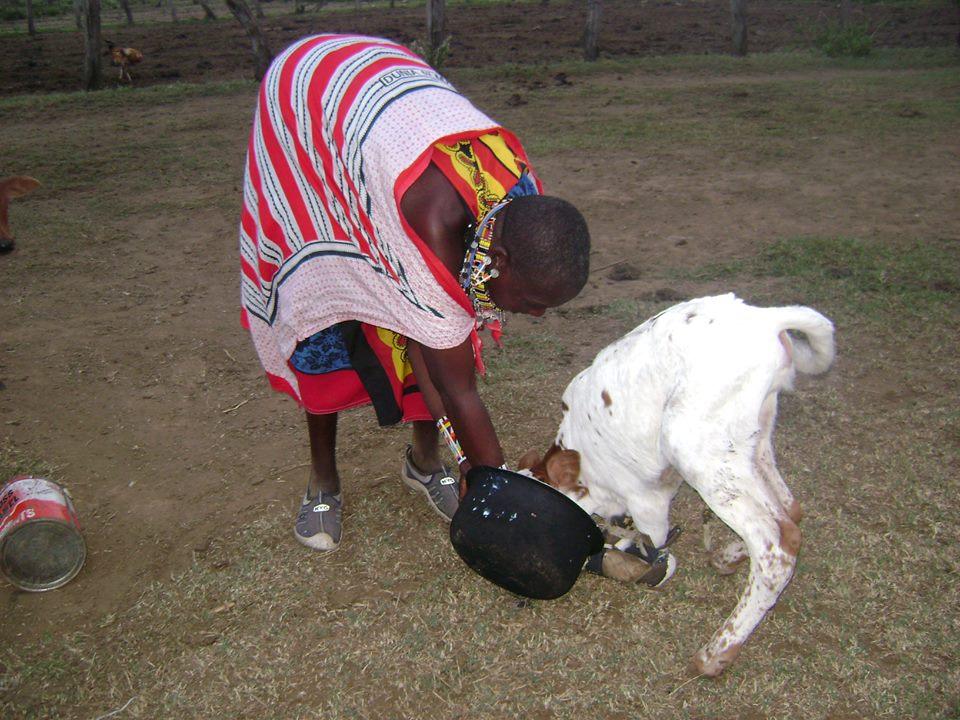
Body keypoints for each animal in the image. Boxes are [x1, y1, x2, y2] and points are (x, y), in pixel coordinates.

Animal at [524, 292, 832, 676]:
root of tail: (766, 318)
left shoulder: (646, 500)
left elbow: (650, 536)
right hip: (752, 440)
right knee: (789, 510)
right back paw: (728, 556)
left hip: (695, 447)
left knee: (776, 544)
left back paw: (717, 651)